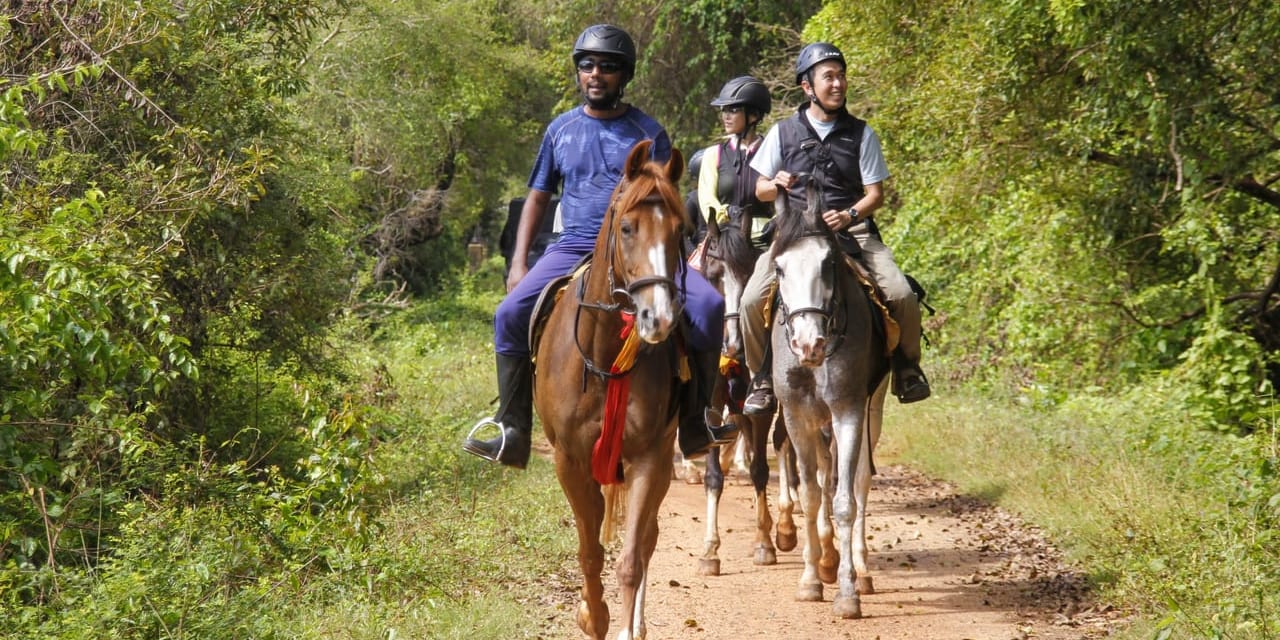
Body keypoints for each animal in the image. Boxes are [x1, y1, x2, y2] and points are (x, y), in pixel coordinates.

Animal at [532, 140, 686, 640]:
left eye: (680, 230)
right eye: (627, 227)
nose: (658, 318)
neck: (602, 359)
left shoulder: (649, 457)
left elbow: (632, 559)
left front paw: (621, 625)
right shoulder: (570, 461)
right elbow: (589, 551)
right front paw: (591, 616)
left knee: (650, 537)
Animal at [768, 177, 890, 616]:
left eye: (828, 264)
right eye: (779, 267)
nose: (809, 344)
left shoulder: (848, 411)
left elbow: (843, 500)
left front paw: (848, 592)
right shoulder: (797, 417)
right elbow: (810, 495)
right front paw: (810, 579)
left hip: (873, 409)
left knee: (859, 481)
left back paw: (860, 569)